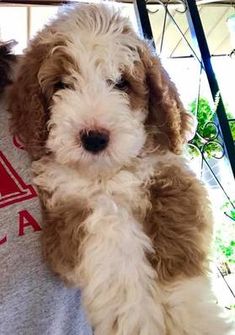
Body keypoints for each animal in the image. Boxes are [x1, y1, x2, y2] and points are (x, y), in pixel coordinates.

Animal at [7, 3, 233, 335]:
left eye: (122, 83)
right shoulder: (67, 212)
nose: (94, 138)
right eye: (61, 84)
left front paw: (191, 318)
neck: (106, 174)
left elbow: (177, 250)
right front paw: (136, 317)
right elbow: (114, 243)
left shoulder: (172, 176)